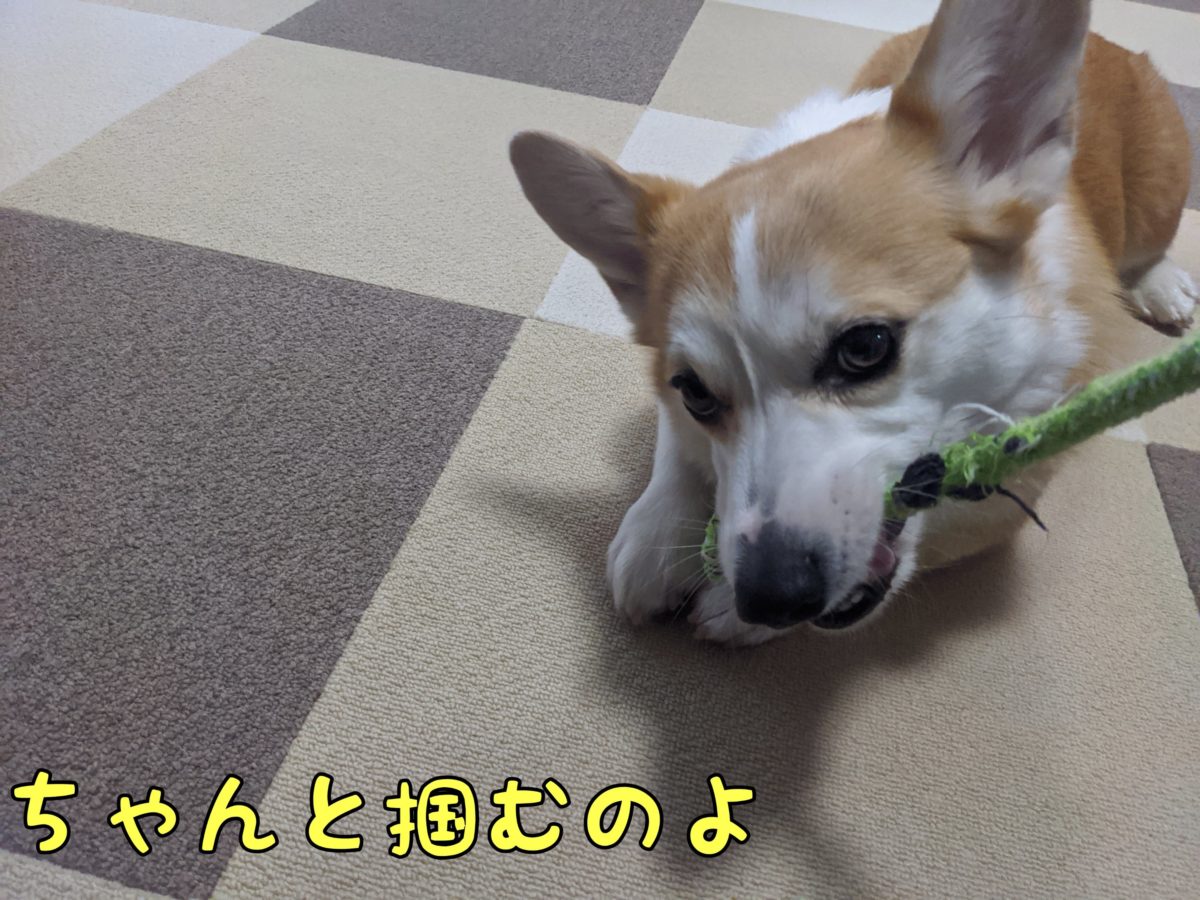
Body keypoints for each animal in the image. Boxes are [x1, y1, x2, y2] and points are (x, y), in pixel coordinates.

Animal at [510, 0, 1195, 645]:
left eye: (865, 347)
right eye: (695, 392)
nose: (769, 597)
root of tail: (1112, 45)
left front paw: (730, 612)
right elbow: (677, 449)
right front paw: (653, 541)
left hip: (1160, 193)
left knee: (1149, 248)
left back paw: (1163, 285)